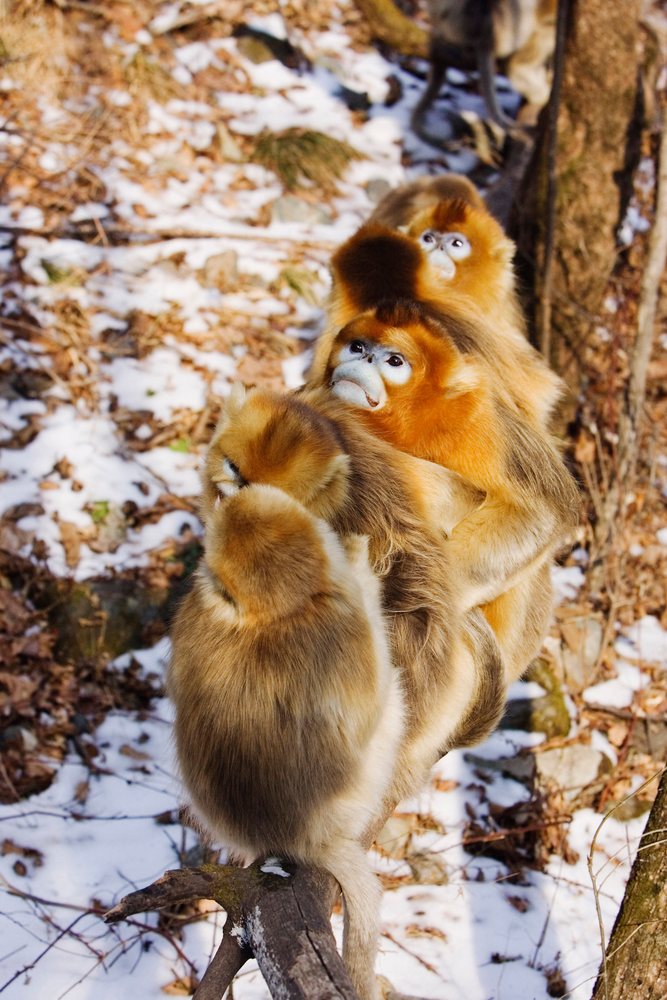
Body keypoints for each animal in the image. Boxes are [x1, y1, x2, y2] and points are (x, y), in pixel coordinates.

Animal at [169, 479, 404, 1000]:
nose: (226, 492)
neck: (273, 616)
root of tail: (301, 836)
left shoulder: (197, 601)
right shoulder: (342, 624)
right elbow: (370, 698)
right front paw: (360, 561)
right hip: (364, 785)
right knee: (393, 703)